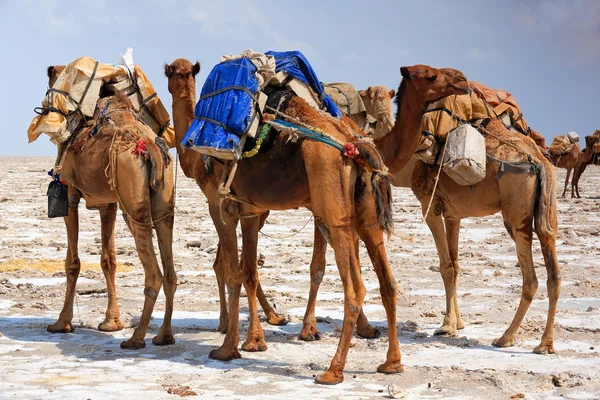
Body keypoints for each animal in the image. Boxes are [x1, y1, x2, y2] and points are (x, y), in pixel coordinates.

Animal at [42, 73, 176, 348]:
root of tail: (151, 147)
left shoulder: (69, 194)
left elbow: (72, 262)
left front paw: (62, 323)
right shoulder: (109, 203)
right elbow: (108, 259)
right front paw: (111, 322)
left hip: (133, 199)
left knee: (154, 273)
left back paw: (136, 339)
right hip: (162, 199)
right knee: (170, 270)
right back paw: (163, 336)